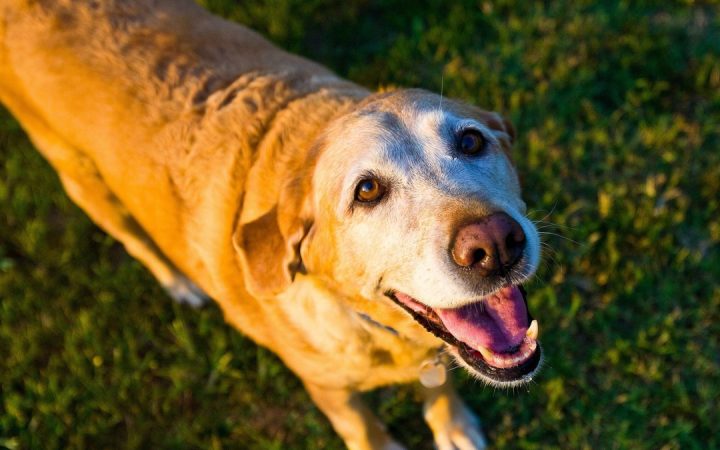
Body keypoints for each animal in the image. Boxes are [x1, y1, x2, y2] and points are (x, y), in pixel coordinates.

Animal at [0, 1, 540, 448]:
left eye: (470, 141)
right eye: (367, 191)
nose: (495, 245)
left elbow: (441, 383)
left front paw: (453, 425)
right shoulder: (329, 390)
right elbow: (365, 428)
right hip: (82, 179)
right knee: (134, 239)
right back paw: (178, 283)